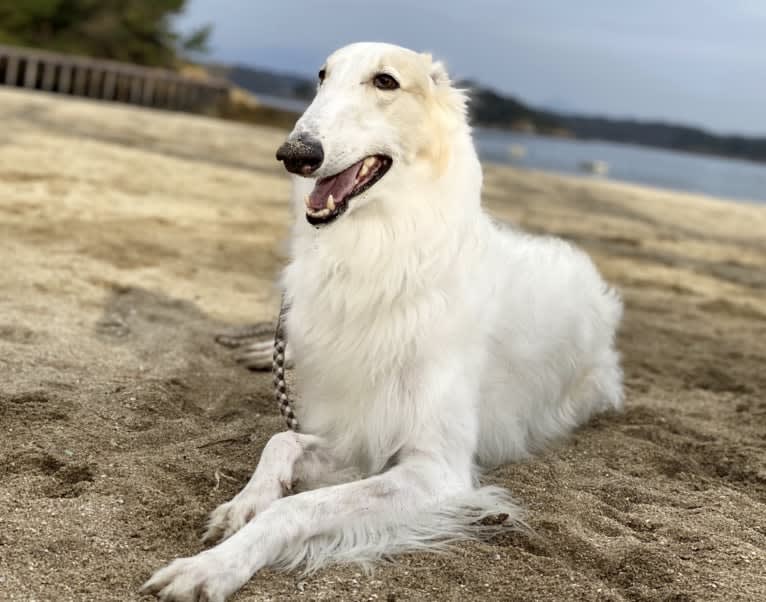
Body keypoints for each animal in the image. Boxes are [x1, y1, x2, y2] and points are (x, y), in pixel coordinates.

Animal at [144, 42, 624, 600]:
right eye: (322, 76)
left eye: (386, 82)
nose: (294, 154)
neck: (387, 253)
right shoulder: (355, 428)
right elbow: (280, 441)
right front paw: (244, 503)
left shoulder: (435, 468)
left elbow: (298, 506)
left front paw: (212, 567)